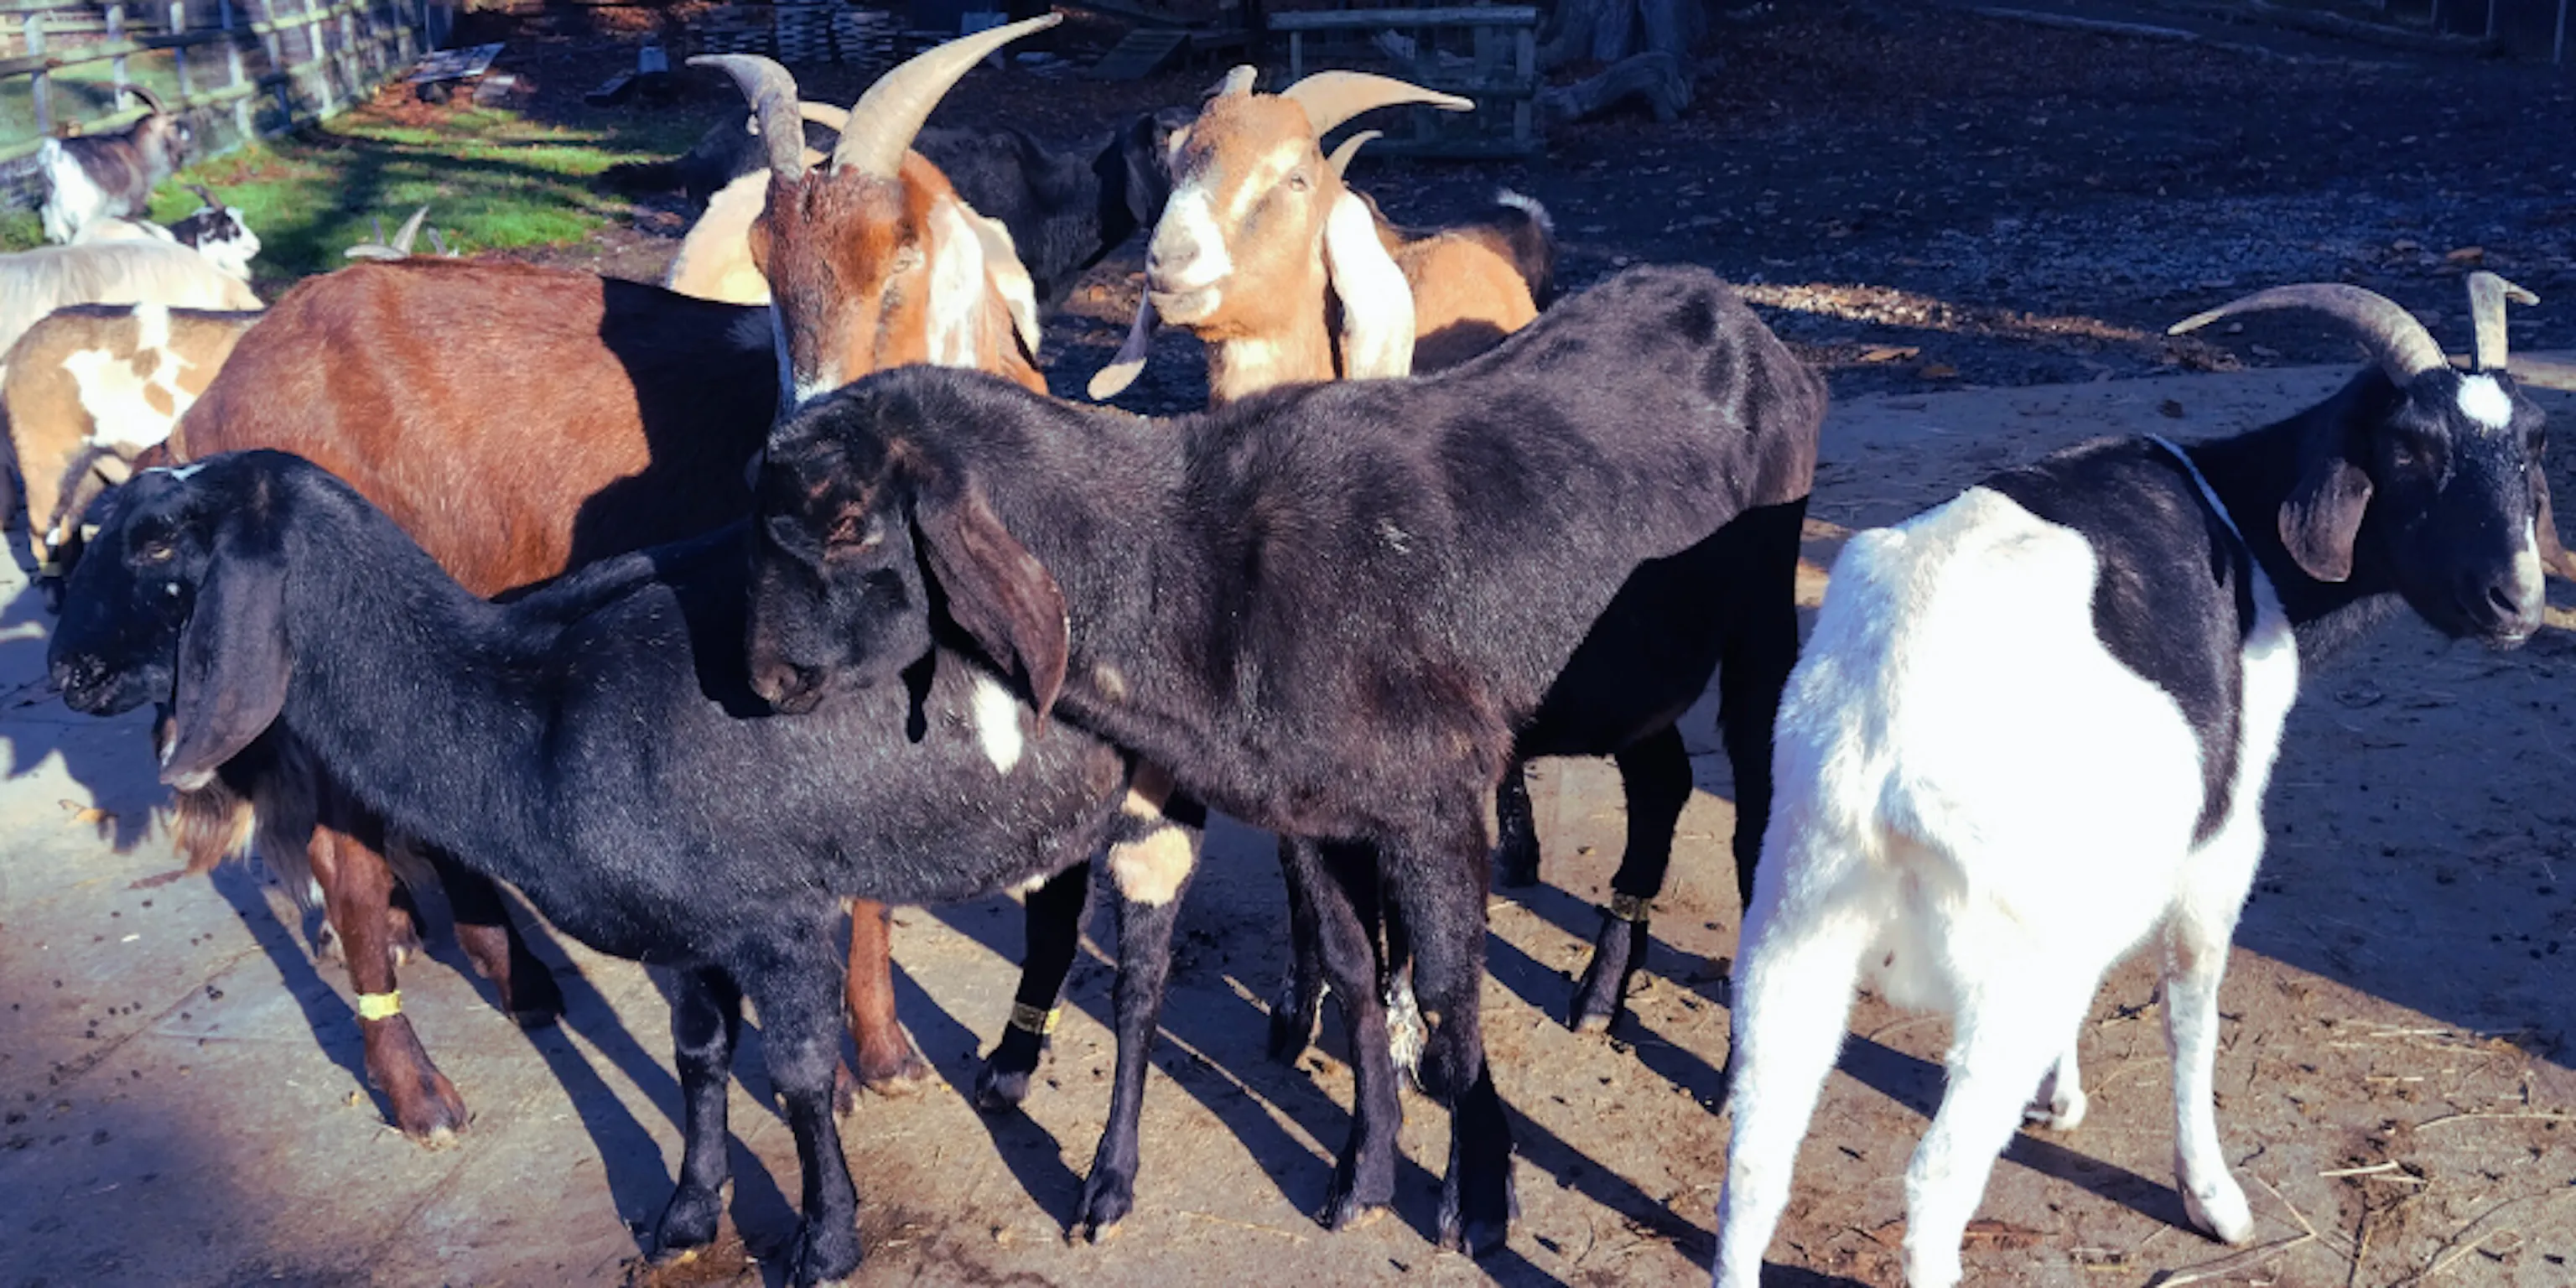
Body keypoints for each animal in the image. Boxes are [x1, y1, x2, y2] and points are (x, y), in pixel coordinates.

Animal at [40, 86, 192, 244]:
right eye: (172, 124)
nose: (187, 149)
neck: (137, 149)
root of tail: (55, 154)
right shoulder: (132, 203)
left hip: (56, 219)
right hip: (84, 211)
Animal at [47, 453, 1148, 1287]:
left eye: (157, 543)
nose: (64, 671)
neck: (526, 705)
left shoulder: (778, 915)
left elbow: (796, 1076)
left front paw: (825, 1243)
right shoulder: (694, 925)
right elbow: (698, 1056)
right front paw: (688, 1216)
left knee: (1137, 992)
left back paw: (1105, 1186)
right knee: (1056, 916)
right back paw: (1010, 1069)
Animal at [743, 264, 1822, 1253]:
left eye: (849, 524)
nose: (763, 675)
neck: (1204, 571)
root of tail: (1747, 327)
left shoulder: (1435, 795)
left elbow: (1447, 989)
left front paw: (1478, 1199)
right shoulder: (1315, 808)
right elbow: (1354, 972)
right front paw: (1365, 1172)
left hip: (1764, 624)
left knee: (1759, 825)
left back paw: (1739, 1072)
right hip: (1635, 674)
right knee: (1664, 782)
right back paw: (1600, 995)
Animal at [1709, 275, 2553, 1288]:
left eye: (2537, 441)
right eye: (2410, 447)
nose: (2518, 601)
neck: (2241, 528)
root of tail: (1883, 753)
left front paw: (2062, 1098)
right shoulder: (2219, 844)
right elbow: (2192, 1010)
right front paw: (2214, 1199)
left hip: (1794, 920)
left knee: (1755, 1161)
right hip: (2005, 972)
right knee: (1934, 1180)